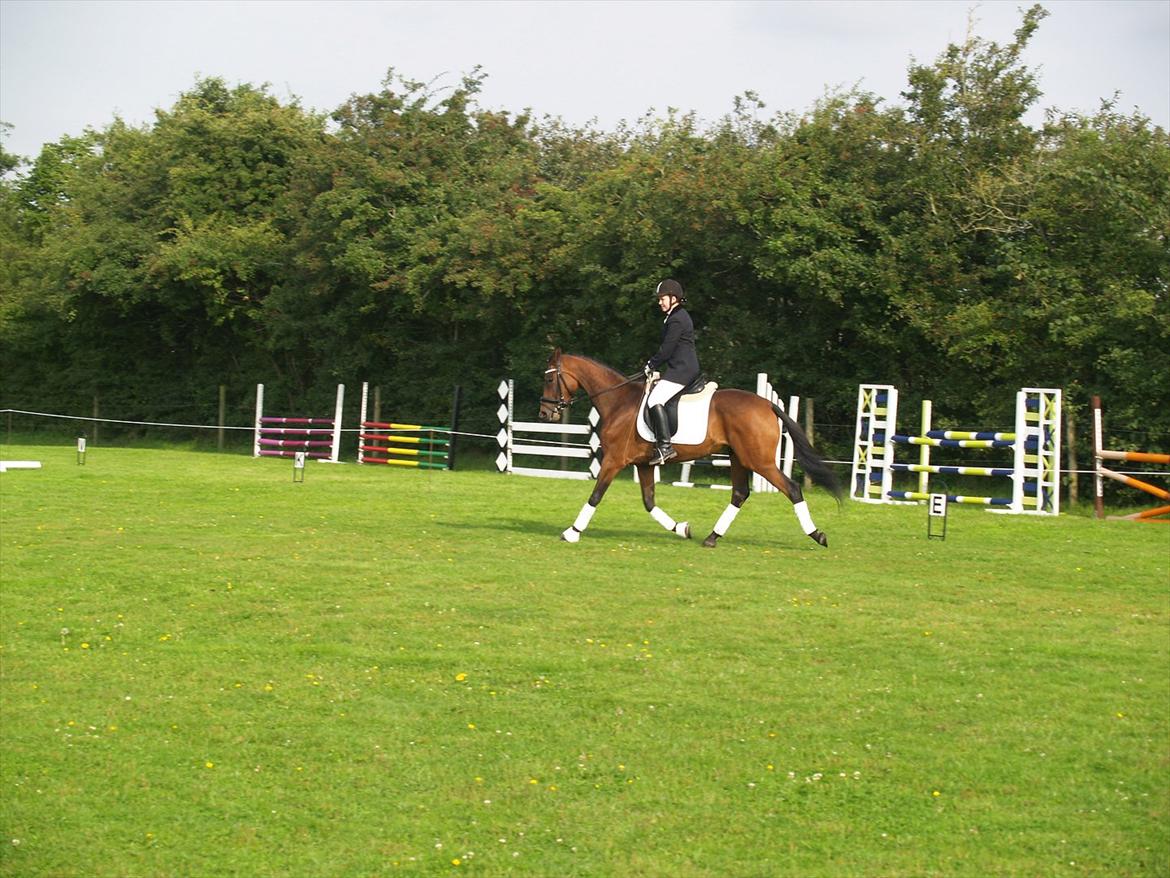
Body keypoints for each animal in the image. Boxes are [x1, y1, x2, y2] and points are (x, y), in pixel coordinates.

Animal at [538, 351, 842, 550]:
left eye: (550, 380)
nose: (544, 414)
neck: (618, 401)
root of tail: (767, 404)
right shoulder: (644, 465)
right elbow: (649, 503)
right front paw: (682, 529)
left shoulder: (613, 461)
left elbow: (595, 496)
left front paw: (572, 531)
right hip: (739, 458)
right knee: (739, 494)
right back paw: (712, 538)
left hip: (760, 462)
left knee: (791, 489)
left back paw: (817, 535)